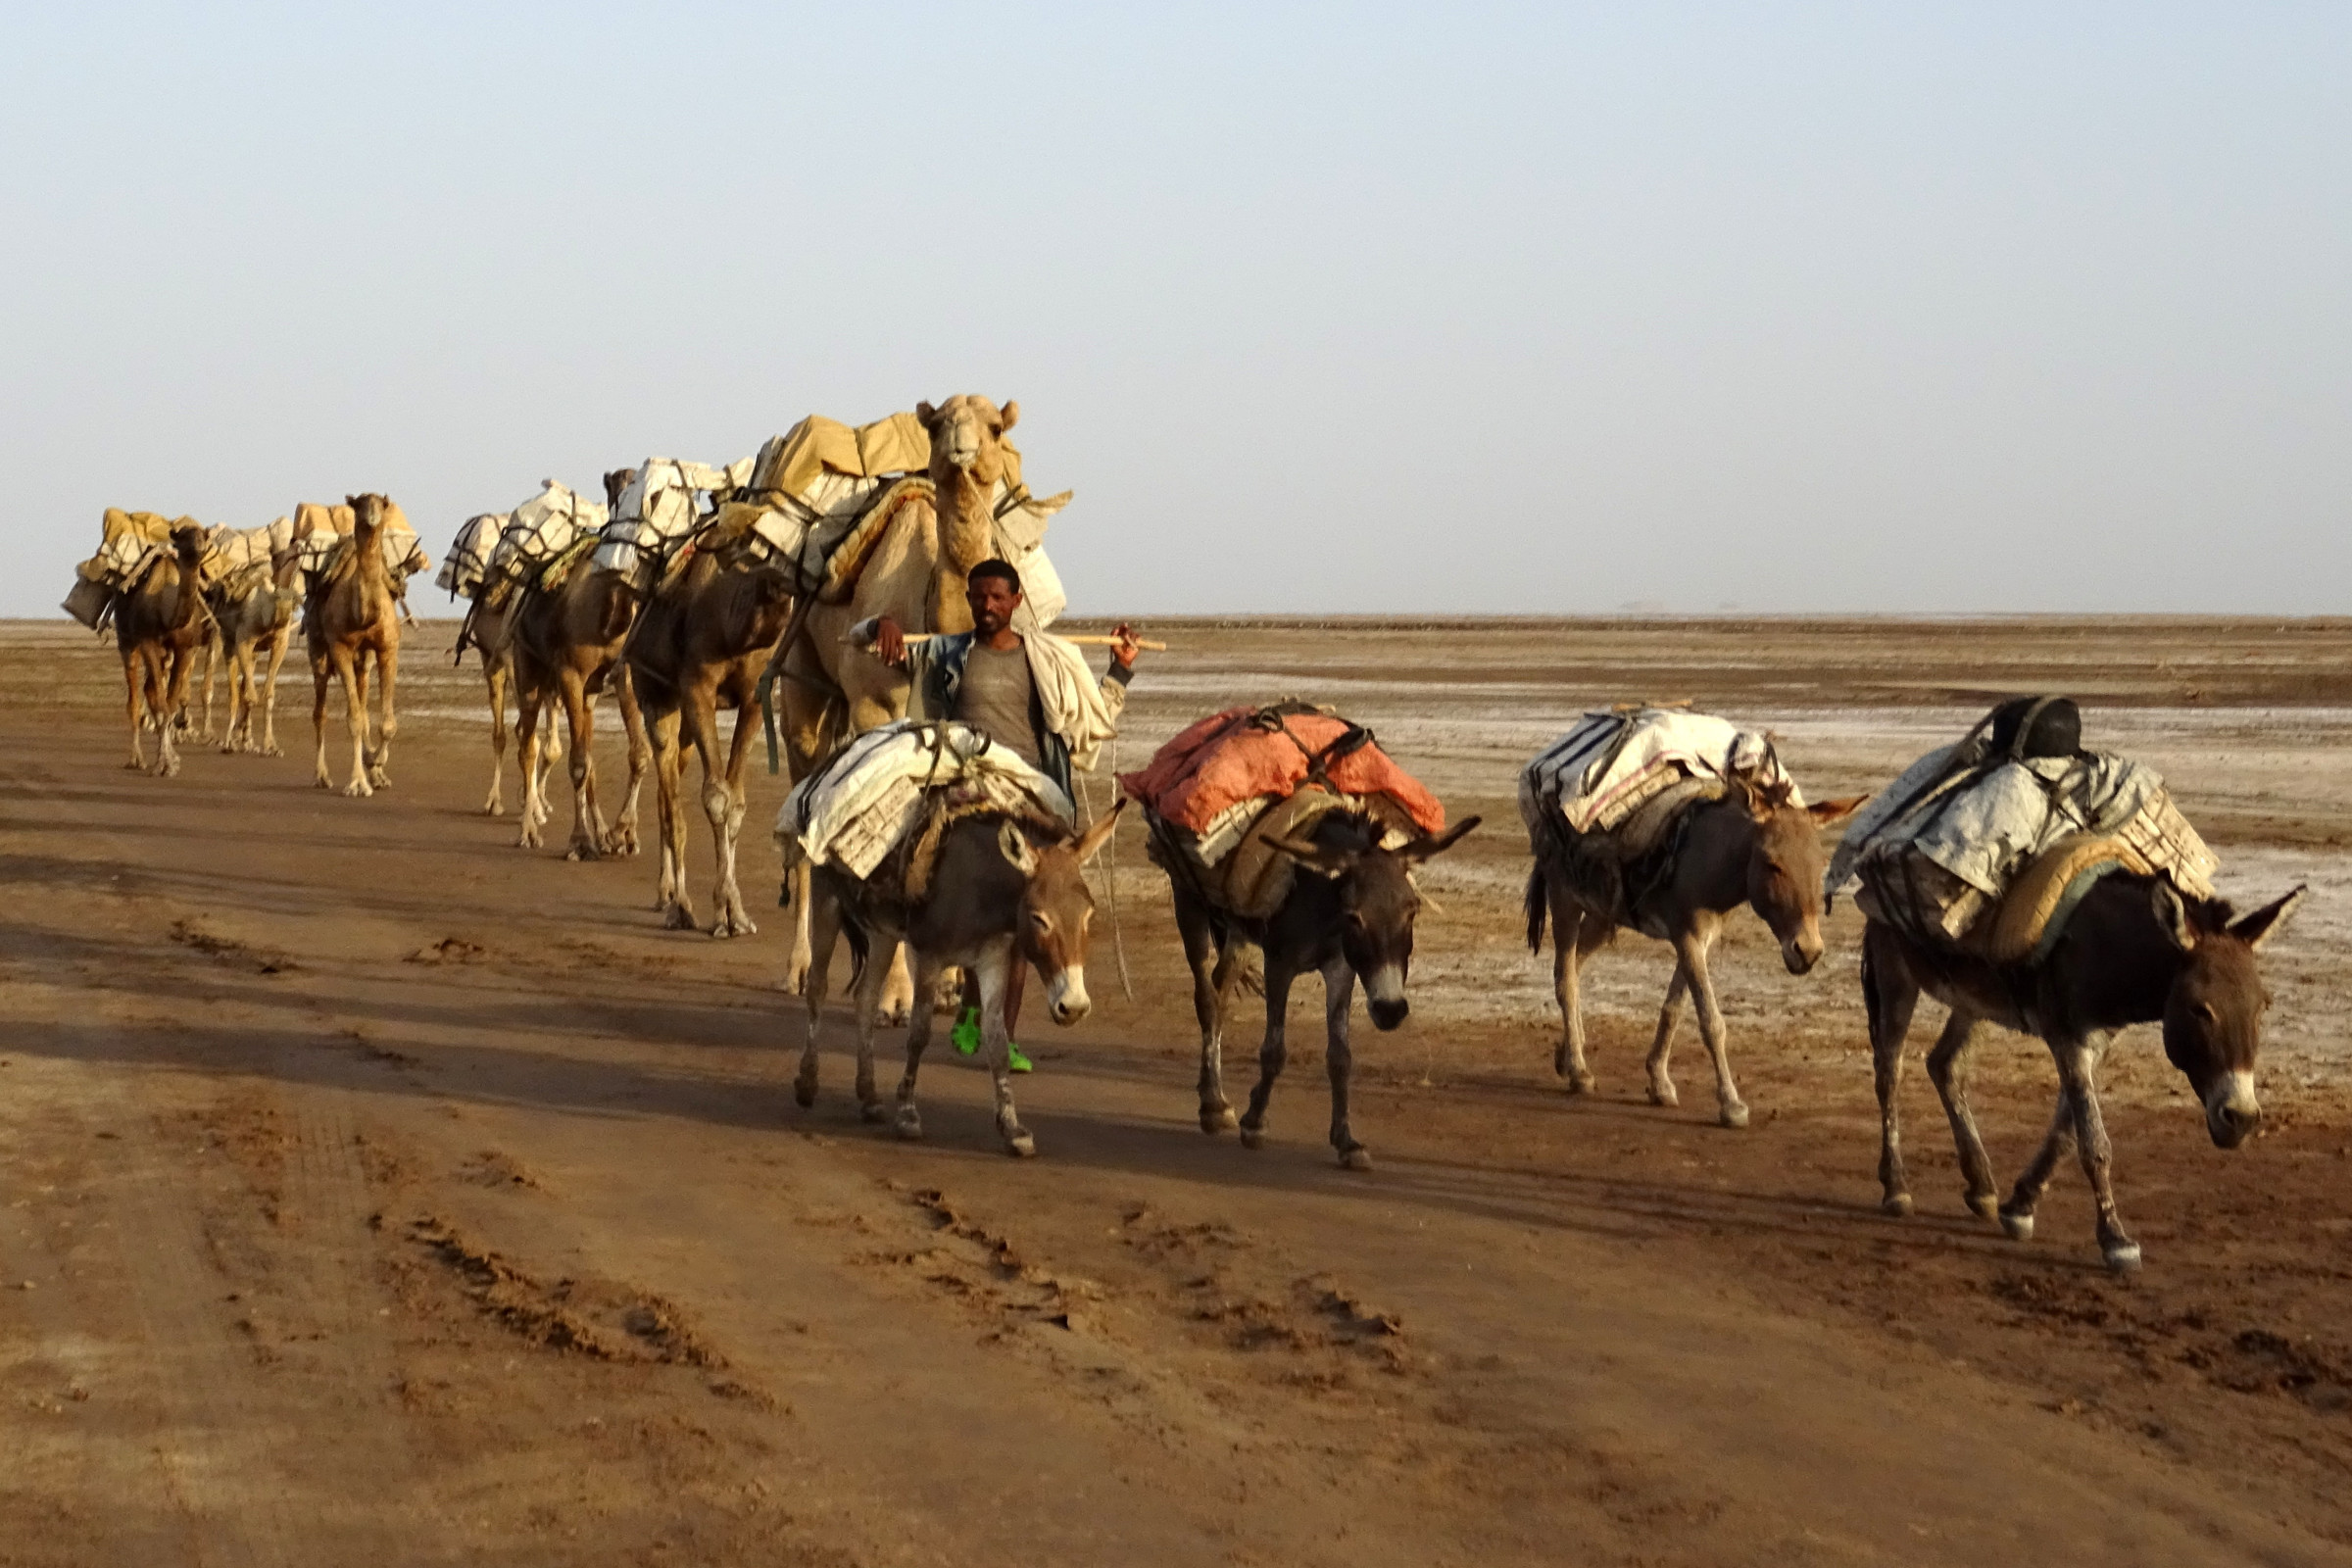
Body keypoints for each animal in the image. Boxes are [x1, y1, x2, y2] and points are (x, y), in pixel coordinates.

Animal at [113, 523, 213, 775]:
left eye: (203, 535)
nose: (198, 549)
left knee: (150, 692)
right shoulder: (148, 642)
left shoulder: (186, 647)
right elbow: (161, 705)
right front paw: (163, 764)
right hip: (127, 642)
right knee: (135, 700)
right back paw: (136, 759)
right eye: (184, 537)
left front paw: (171, 761)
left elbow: (170, 703)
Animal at [310, 493, 407, 799]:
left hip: (364, 661)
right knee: (321, 712)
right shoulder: (340, 647)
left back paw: (375, 772)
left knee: (363, 702)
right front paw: (357, 783)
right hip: (318, 651)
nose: (372, 518)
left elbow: (385, 723)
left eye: (382, 504)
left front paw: (376, 764)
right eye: (359, 504)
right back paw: (322, 776)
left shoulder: (388, 648)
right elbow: (353, 719)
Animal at [508, 469, 649, 859]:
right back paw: (528, 831)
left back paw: (603, 834)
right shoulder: (570, 673)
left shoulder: (623, 675)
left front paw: (623, 834)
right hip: (527, 667)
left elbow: (637, 754)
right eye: (617, 489)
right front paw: (580, 841)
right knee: (527, 744)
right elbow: (577, 764)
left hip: (587, 693)